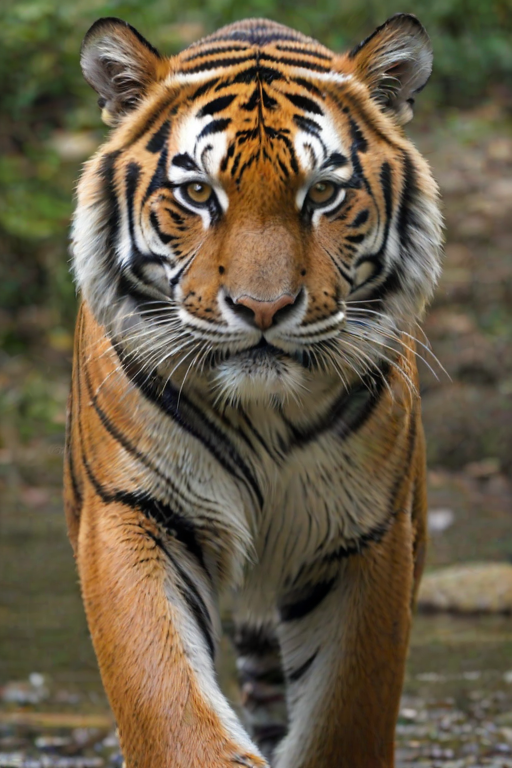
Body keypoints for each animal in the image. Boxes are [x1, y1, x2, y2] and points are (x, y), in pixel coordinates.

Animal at [64, 12, 442, 768]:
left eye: (322, 193)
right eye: (198, 194)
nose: (262, 310)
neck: (263, 411)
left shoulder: (369, 533)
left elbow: (345, 715)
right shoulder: (130, 510)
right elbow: (169, 705)